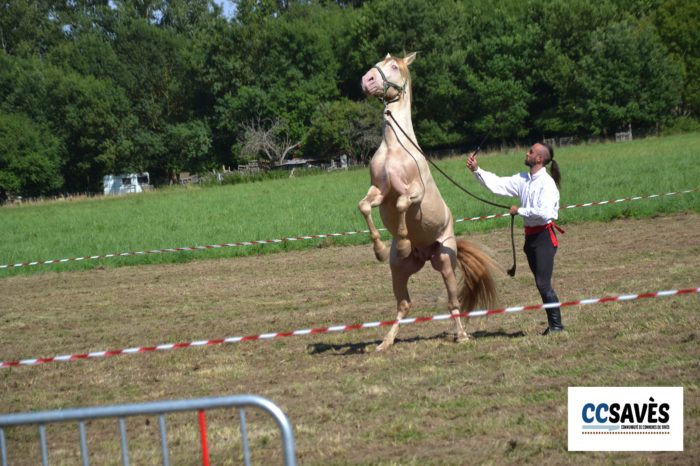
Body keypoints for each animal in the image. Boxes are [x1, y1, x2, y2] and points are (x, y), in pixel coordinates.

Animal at [358, 52, 500, 352]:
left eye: (394, 66)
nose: (367, 80)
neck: (396, 148)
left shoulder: (414, 192)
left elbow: (402, 204)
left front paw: (401, 242)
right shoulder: (379, 190)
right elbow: (364, 207)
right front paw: (380, 249)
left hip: (445, 262)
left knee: (453, 301)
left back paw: (462, 335)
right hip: (400, 270)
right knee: (404, 304)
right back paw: (385, 342)